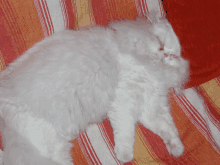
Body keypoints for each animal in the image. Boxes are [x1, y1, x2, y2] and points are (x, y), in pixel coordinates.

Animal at [0, 11, 189, 165]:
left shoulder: (151, 106)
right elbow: (126, 132)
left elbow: (168, 129)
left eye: (173, 55)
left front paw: (176, 148)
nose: (165, 55)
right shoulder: (124, 102)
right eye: (161, 44)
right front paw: (125, 155)